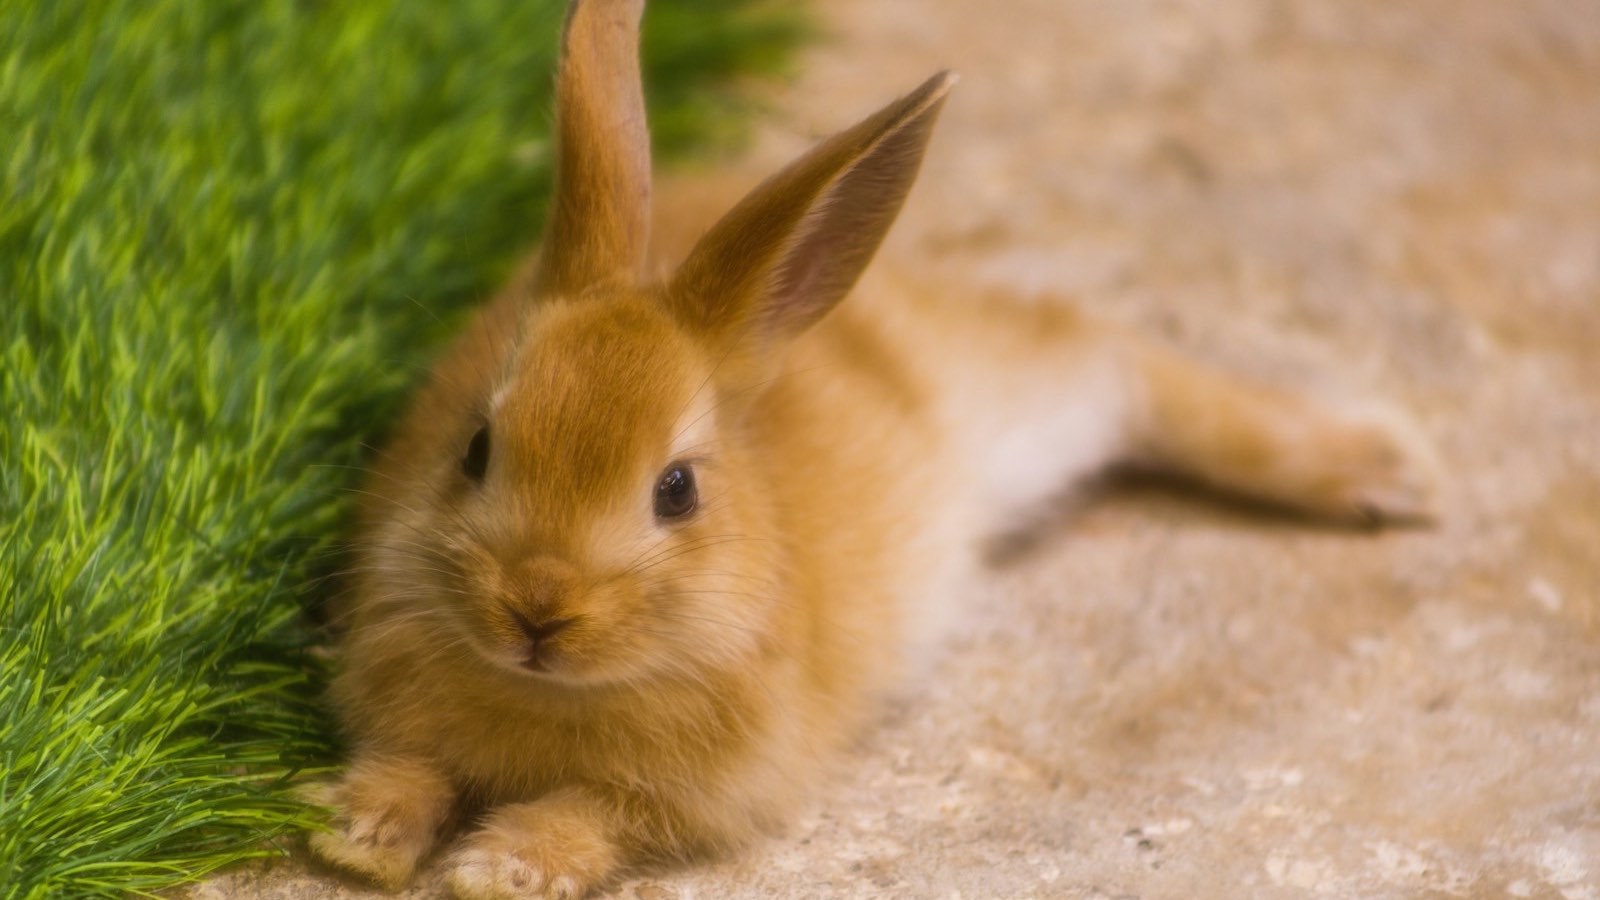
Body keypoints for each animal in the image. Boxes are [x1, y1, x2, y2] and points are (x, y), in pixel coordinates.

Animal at [304, 0, 1440, 897]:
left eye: (676, 491)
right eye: (476, 448)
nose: (536, 609)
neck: (550, 687)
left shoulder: (695, 791)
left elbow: (588, 815)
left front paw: (499, 867)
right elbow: (411, 767)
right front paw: (357, 836)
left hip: (1018, 410)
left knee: (1115, 358)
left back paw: (1383, 473)